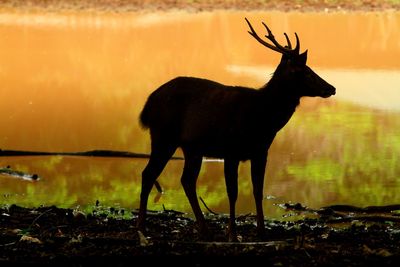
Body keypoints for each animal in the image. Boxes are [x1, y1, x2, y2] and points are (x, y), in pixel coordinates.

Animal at [136, 17, 336, 242]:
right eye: (304, 71)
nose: (331, 88)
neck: (262, 117)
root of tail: (148, 105)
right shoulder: (231, 149)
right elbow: (233, 192)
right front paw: (232, 233)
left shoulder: (261, 151)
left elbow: (258, 190)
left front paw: (261, 231)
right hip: (163, 136)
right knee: (148, 174)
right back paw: (142, 227)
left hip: (191, 148)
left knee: (186, 180)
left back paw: (204, 230)